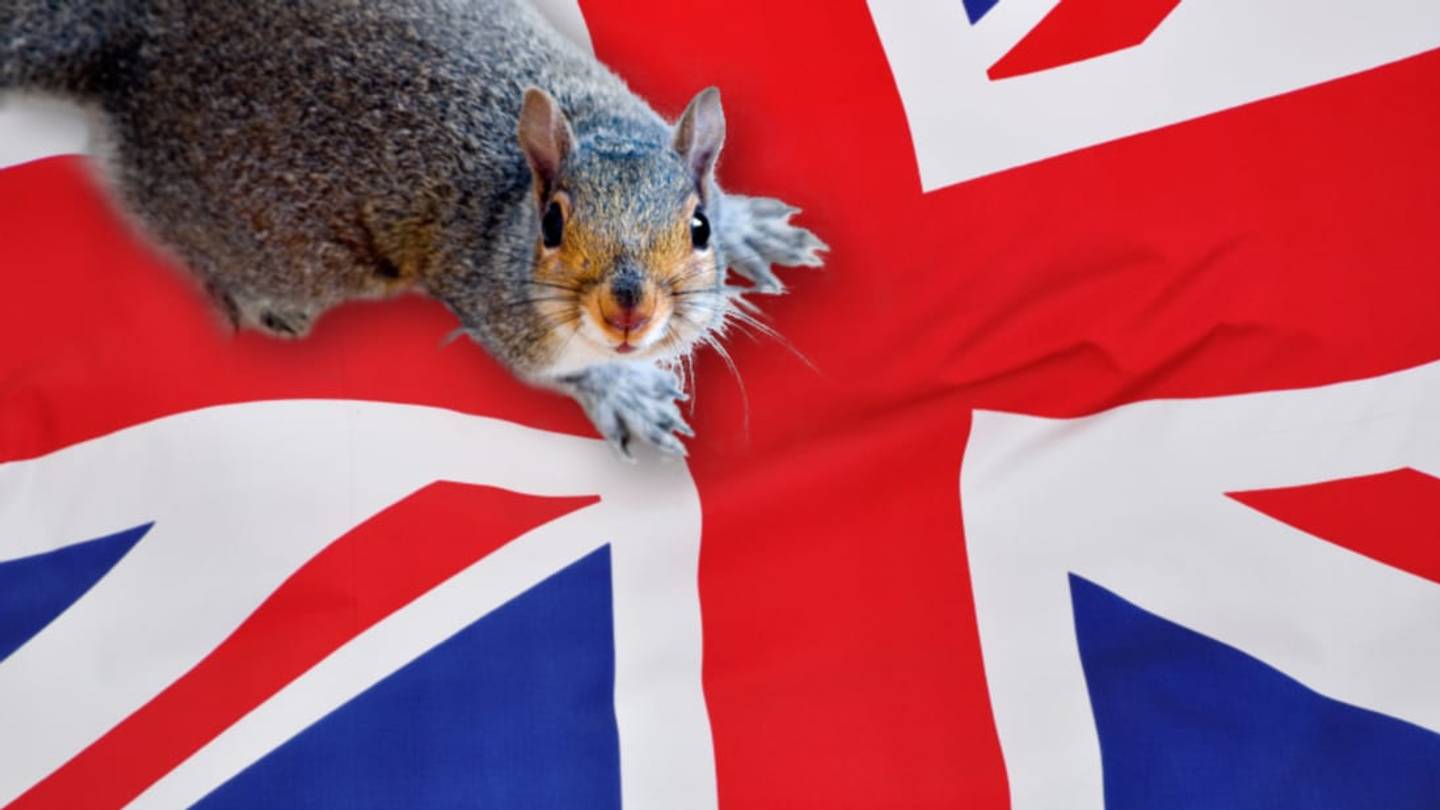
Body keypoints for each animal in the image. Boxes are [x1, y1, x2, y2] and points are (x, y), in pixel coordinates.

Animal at [1, 0, 826, 457]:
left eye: (699, 226)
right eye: (553, 223)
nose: (628, 313)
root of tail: (139, 36)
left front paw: (753, 227)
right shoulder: (495, 311)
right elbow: (554, 372)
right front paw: (622, 390)